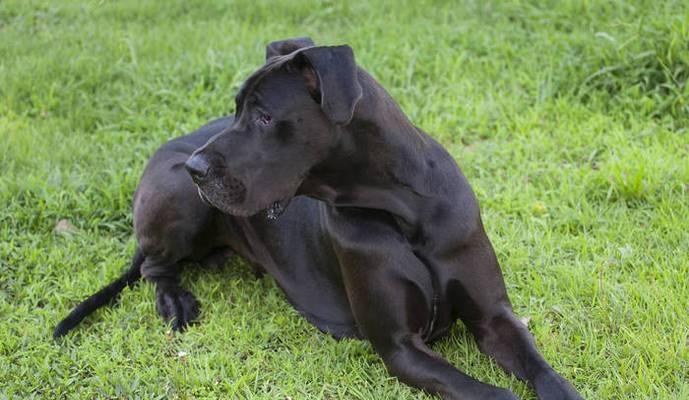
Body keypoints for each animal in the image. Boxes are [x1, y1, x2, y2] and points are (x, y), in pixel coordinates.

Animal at [56, 38, 580, 400]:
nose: (196, 168)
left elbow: (544, 371)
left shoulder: (495, 318)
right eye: (236, 111)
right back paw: (176, 301)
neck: (402, 211)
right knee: (153, 265)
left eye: (264, 117)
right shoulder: (400, 347)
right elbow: (489, 391)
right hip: (178, 199)